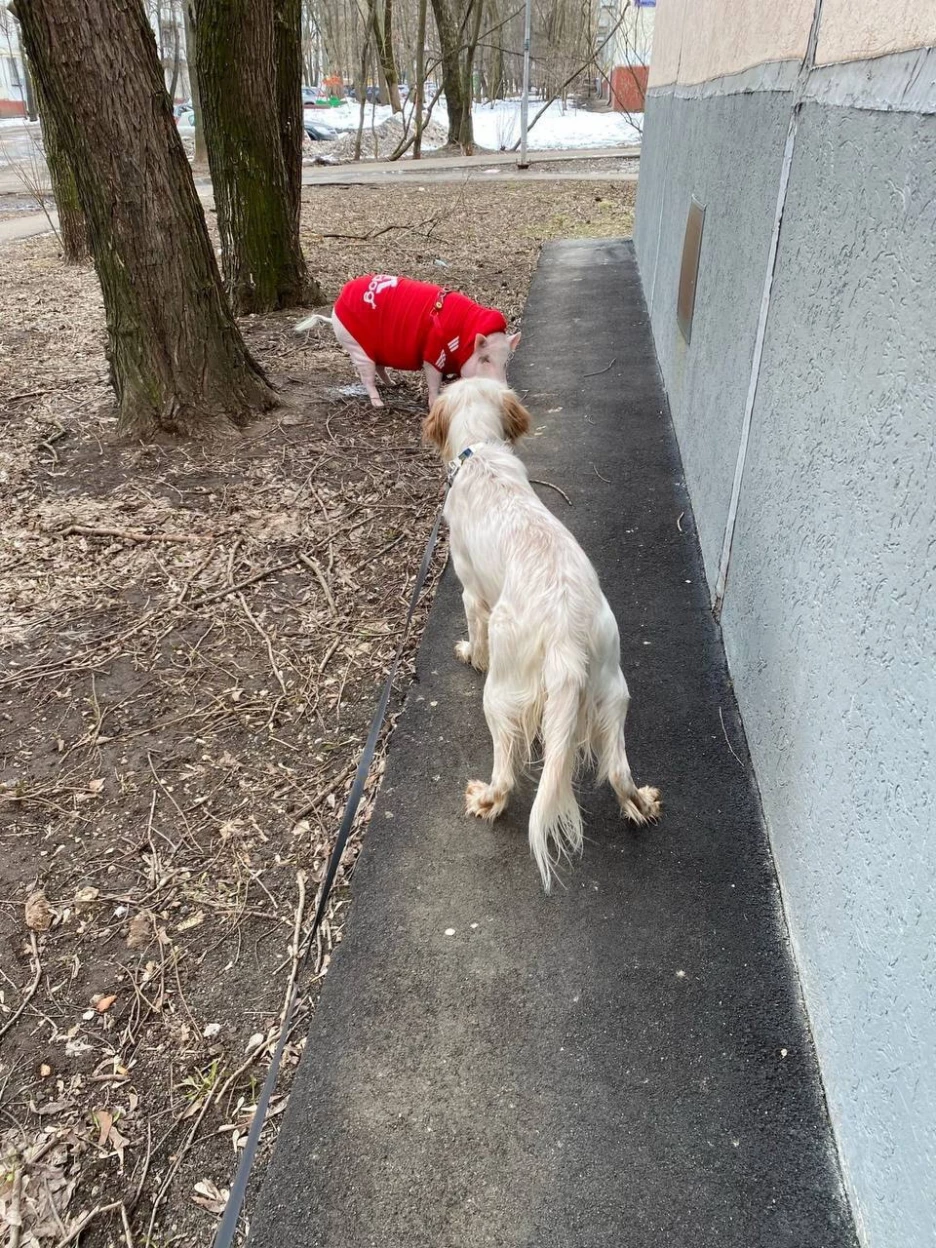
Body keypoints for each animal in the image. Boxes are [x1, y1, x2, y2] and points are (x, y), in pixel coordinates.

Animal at [297, 274, 521, 406]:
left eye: (505, 362)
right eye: (486, 359)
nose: (505, 390)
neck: (462, 338)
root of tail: (334, 313)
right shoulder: (432, 355)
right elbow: (433, 383)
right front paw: (434, 403)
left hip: (375, 348)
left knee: (380, 368)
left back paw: (393, 384)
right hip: (357, 348)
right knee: (367, 377)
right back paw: (379, 404)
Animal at [424, 376, 658, 888]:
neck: (481, 453)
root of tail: (565, 627)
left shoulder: (470, 593)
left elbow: (474, 635)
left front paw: (469, 652)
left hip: (499, 693)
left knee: (507, 775)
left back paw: (485, 800)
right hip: (613, 690)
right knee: (617, 770)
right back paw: (642, 804)